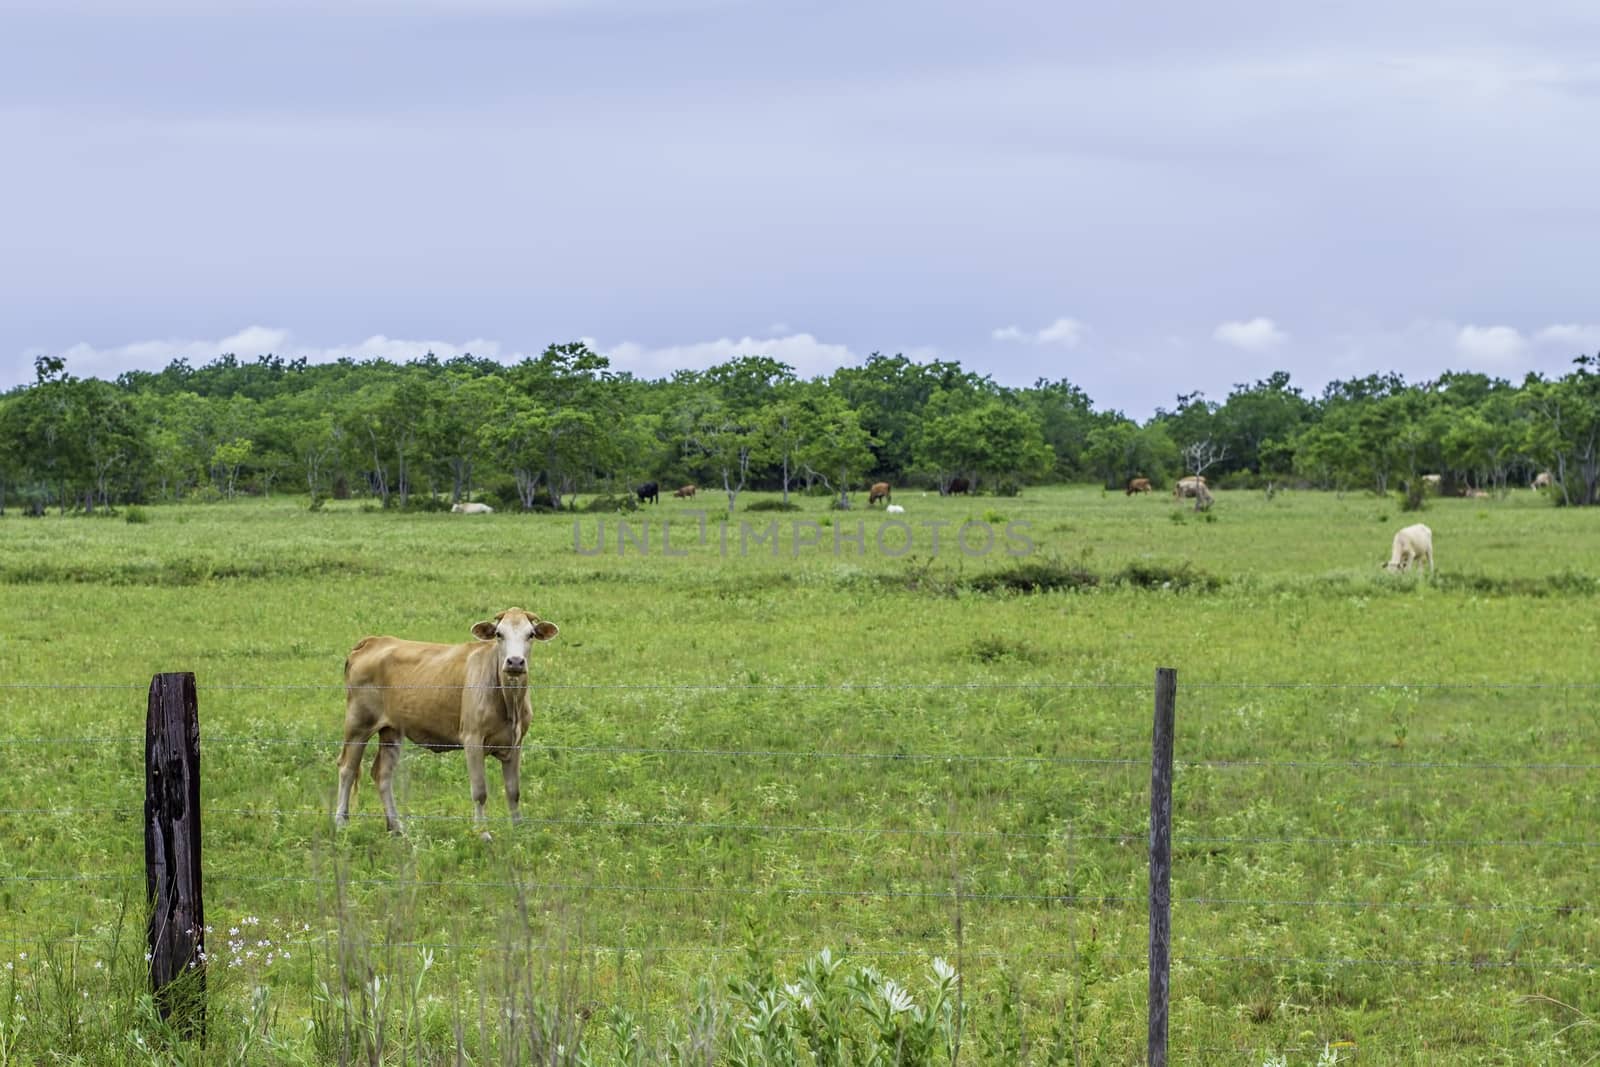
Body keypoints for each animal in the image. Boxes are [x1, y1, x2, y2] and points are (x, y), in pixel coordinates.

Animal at [334, 607, 560, 844]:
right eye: (499, 634)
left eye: (530, 634)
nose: (515, 662)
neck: (509, 703)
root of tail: (374, 640)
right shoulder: (472, 738)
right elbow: (480, 791)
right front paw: (483, 833)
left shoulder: (516, 742)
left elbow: (513, 790)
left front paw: (519, 830)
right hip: (358, 723)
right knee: (347, 768)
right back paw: (341, 823)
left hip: (392, 730)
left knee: (382, 774)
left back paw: (396, 827)